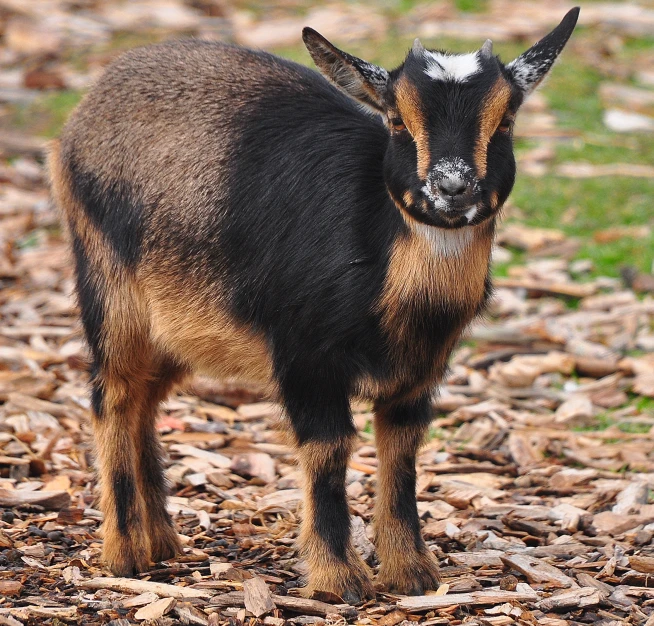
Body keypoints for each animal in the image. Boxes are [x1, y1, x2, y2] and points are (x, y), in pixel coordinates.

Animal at [48, 8, 580, 600]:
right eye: (398, 120)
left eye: (505, 119)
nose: (451, 189)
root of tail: (90, 103)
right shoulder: (304, 354)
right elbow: (328, 447)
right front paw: (337, 579)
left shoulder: (422, 368)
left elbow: (402, 449)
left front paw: (412, 573)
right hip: (109, 286)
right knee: (113, 395)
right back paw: (124, 555)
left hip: (172, 327)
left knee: (144, 399)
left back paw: (162, 542)